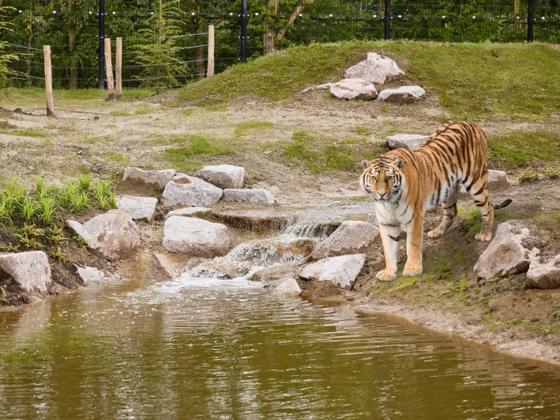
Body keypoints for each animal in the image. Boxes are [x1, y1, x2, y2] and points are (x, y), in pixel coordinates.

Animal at [358, 121, 512, 282]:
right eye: (374, 178)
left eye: (389, 178)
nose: (381, 194)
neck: (390, 203)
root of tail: (472, 123)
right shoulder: (386, 222)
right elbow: (388, 249)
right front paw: (389, 272)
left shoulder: (415, 217)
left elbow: (413, 244)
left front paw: (412, 269)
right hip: (448, 189)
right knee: (451, 212)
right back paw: (437, 231)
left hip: (476, 182)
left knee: (488, 207)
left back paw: (485, 234)